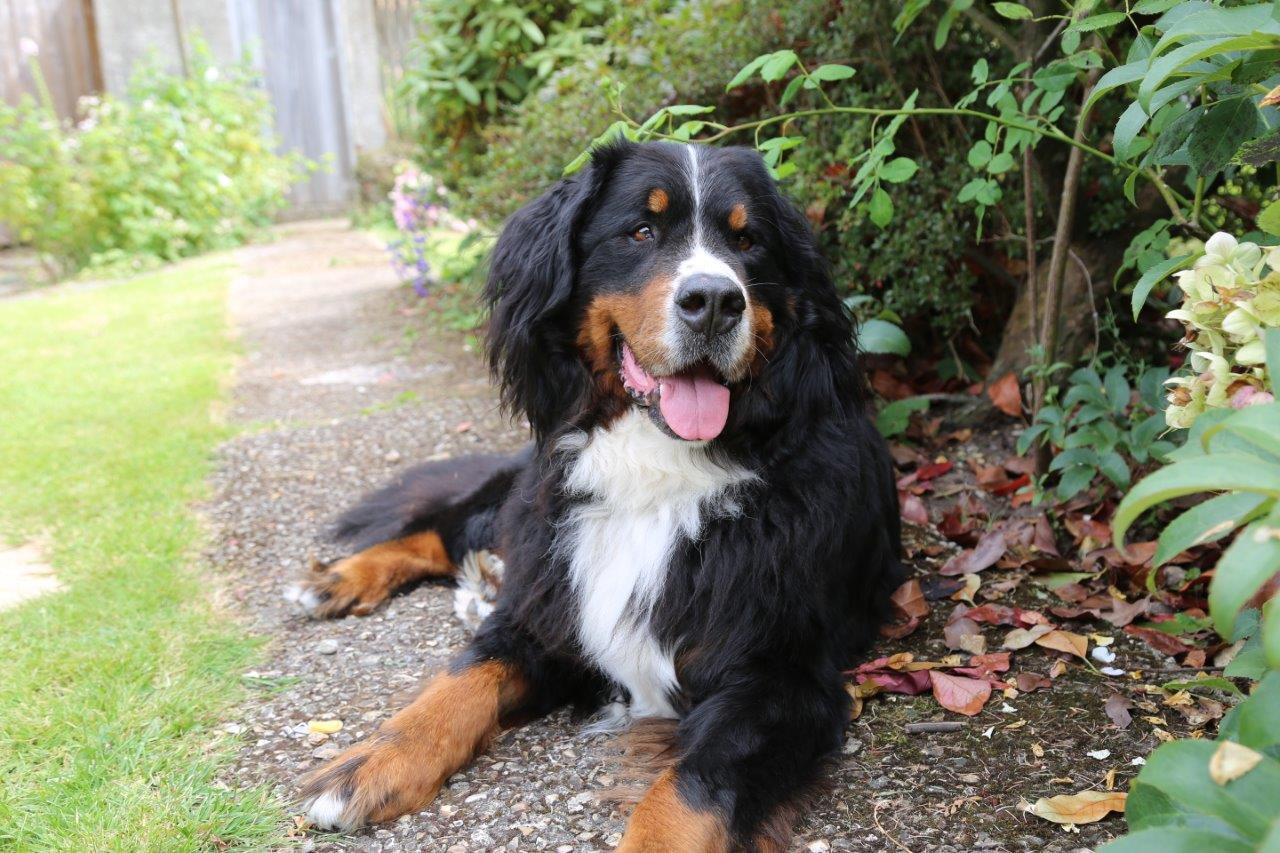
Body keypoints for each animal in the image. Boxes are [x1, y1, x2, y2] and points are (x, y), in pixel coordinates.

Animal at [288, 142, 901, 845]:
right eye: (641, 231)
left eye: (748, 242)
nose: (716, 301)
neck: (658, 473)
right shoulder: (545, 609)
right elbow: (460, 680)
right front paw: (371, 760)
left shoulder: (783, 680)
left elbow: (685, 793)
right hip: (522, 503)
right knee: (441, 530)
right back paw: (337, 581)